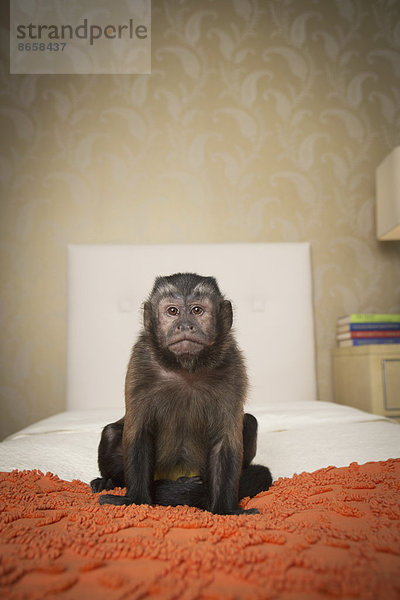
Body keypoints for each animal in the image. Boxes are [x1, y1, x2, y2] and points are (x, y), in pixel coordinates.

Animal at [90, 274, 272, 512]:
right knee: (112, 433)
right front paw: (136, 500)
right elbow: (139, 434)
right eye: (173, 311)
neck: (186, 369)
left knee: (249, 422)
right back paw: (109, 481)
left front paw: (225, 510)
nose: (185, 325)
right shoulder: (140, 361)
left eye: (197, 310)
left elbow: (225, 441)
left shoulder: (233, 365)